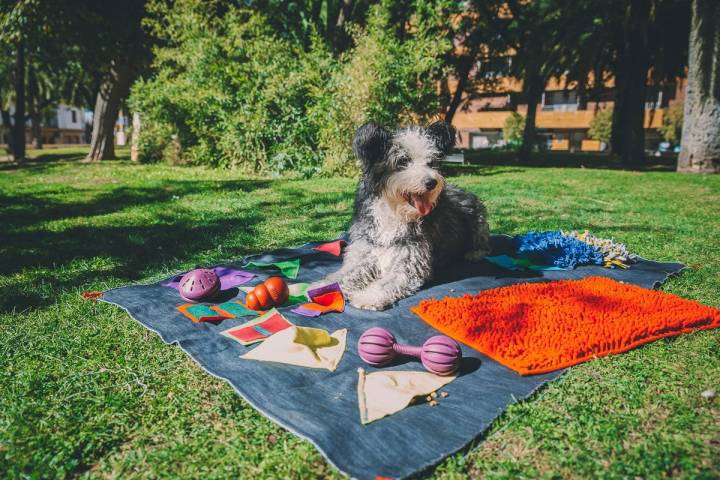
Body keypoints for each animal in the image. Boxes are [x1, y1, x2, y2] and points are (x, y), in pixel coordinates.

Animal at [324, 122, 490, 312]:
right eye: (403, 161)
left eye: (430, 162)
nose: (431, 182)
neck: (393, 212)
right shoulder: (364, 252)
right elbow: (346, 274)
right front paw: (323, 286)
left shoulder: (409, 263)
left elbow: (385, 283)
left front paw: (368, 296)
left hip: (479, 221)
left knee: (483, 243)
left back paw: (474, 253)